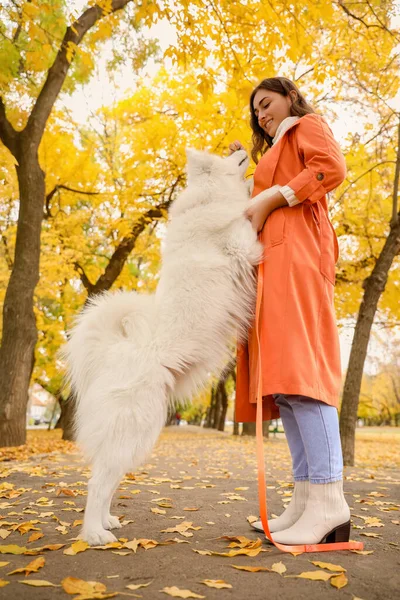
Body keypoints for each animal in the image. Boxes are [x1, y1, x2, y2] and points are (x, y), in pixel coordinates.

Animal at [65, 148, 266, 548]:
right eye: (223, 156)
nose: (241, 147)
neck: (206, 199)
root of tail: (113, 353)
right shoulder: (244, 244)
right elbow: (250, 211)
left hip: (138, 434)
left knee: (108, 480)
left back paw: (107, 521)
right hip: (132, 427)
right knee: (98, 481)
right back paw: (94, 534)